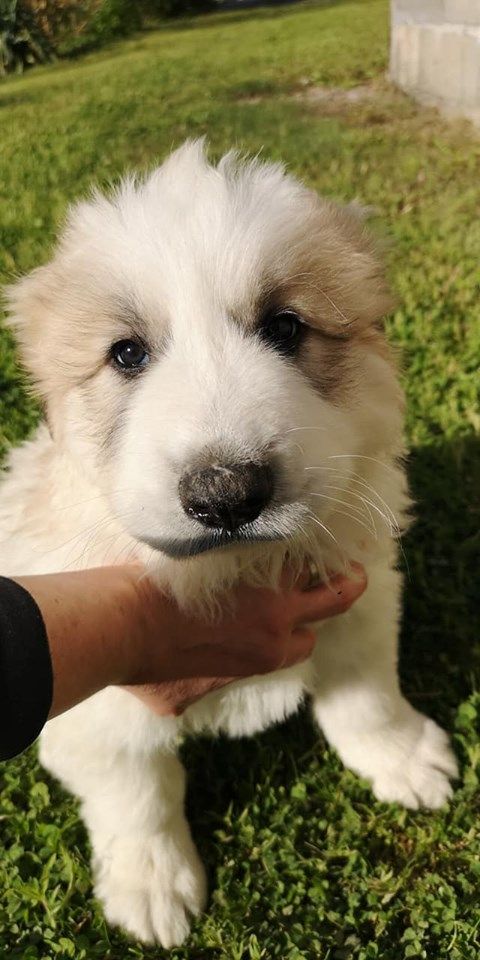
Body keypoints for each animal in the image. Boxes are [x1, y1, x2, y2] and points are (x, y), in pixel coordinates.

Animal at [0, 142, 458, 944]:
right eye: (126, 354)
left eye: (285, 327)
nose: (226, 494)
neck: (240, 571)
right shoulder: (102, 713)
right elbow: (138, 796)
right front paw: (152, 885)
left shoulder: (360, 591)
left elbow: (367, 696)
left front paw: (402, 759)